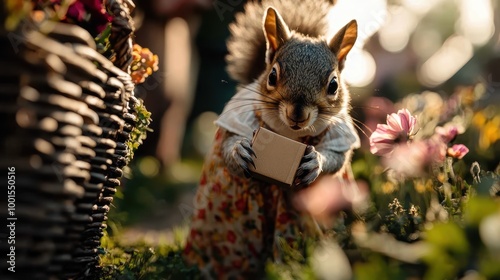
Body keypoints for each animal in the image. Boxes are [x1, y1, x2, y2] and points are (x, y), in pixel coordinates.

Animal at [184, 0, 360, 278]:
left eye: (333, 85)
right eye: (272, 76)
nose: (297, 114)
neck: (289, 134)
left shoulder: (340, 131)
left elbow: (337, 158)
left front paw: (315, 162)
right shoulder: (238, 117)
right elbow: (228, 144)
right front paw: (239, 152)